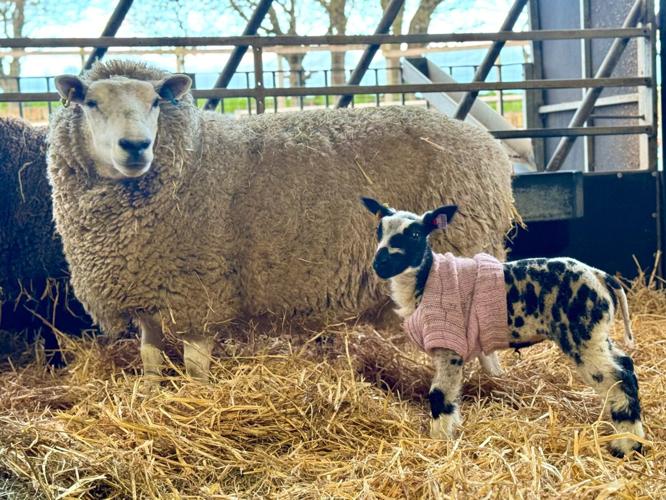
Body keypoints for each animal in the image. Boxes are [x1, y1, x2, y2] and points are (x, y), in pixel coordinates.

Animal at [47, 59, 516, 382]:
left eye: (156, 102)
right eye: (91, 103)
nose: (136, 146)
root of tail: (489, 145)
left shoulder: (201, 292)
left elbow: (196, 367)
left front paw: (196, 399)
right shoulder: (147, 291)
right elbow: (150, 358)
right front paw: (150, 395)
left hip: (464, 255)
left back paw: (496, 384)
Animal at [361, 197, 644, 458]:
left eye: (415, 234)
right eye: (378, 231)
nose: (380, 264)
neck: (426, 280)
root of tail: (599, 276)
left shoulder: (449, 347)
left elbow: (440, 394)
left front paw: (439, 440)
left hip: (581, 335)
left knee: (619, 378)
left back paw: (627, 444)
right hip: (596, 334)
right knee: (625, 364)